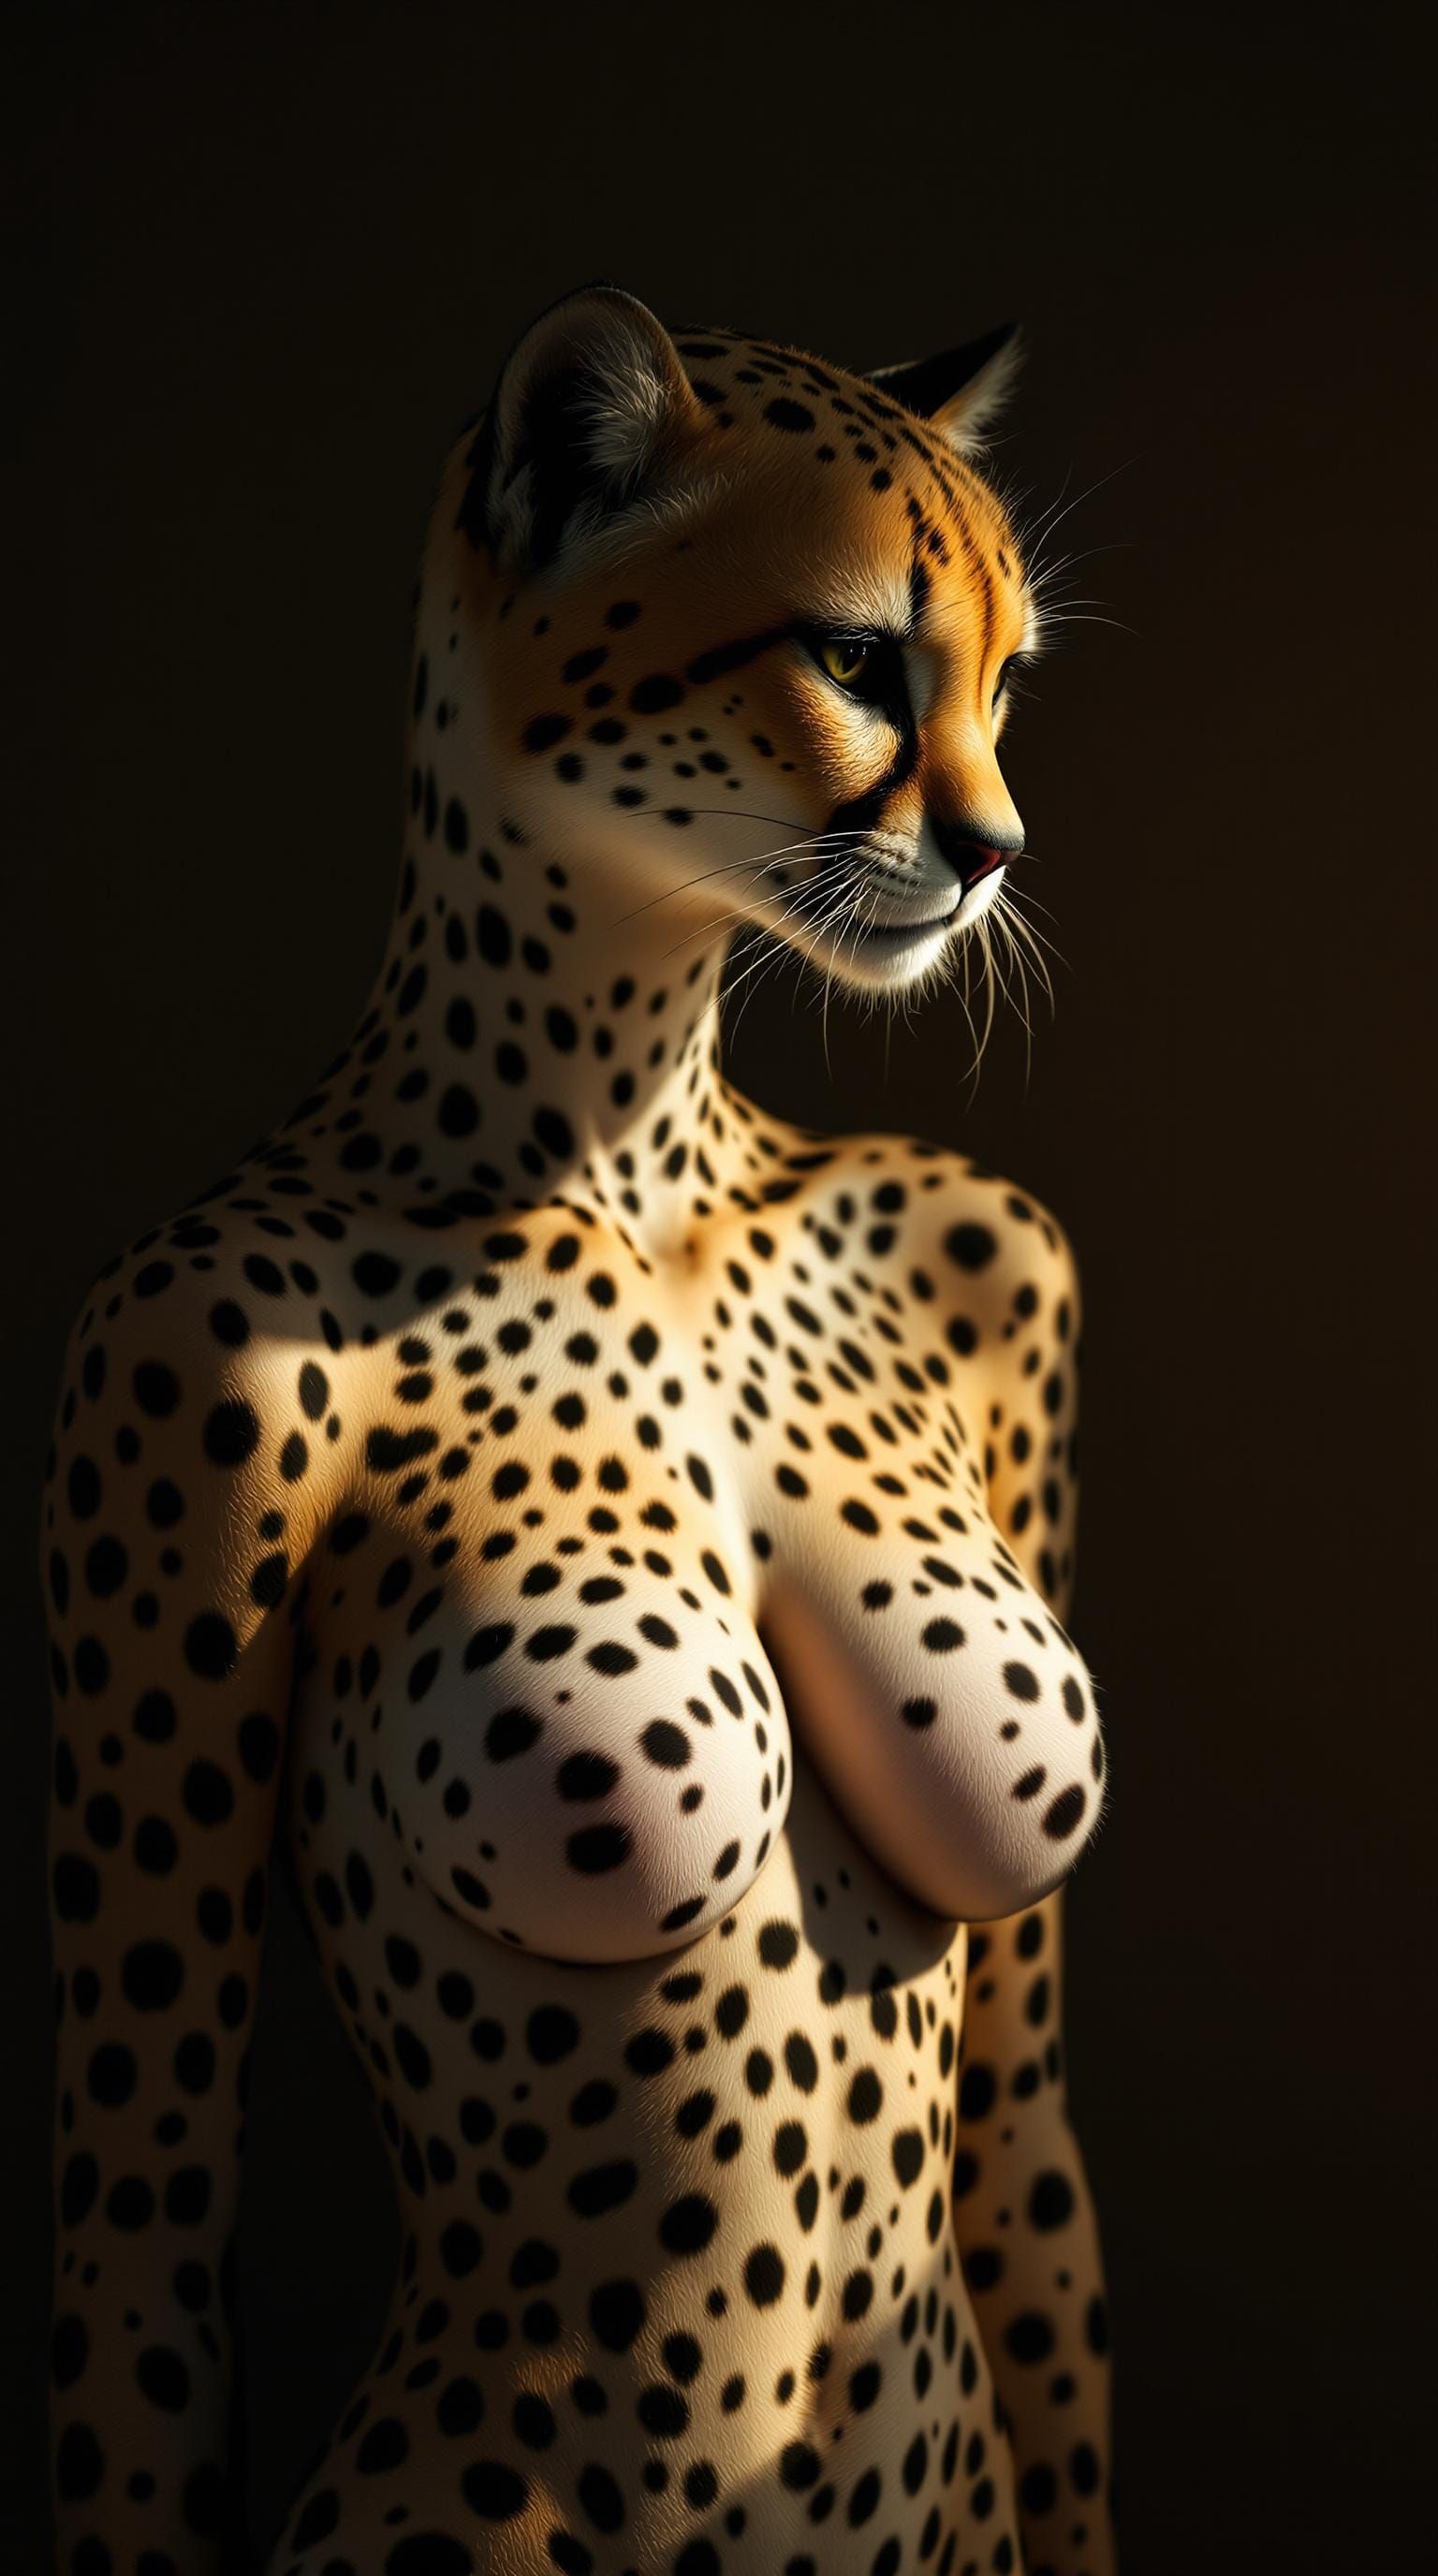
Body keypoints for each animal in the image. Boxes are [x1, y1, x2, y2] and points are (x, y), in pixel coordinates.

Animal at [43, 284, 1116, 2576]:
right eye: (862, 660)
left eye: (1003, 682)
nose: (993, 850)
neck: (622, 1126)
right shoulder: (163, 1361)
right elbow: (145, 2234)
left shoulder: (1010, 1270)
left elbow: (1023, 2147)